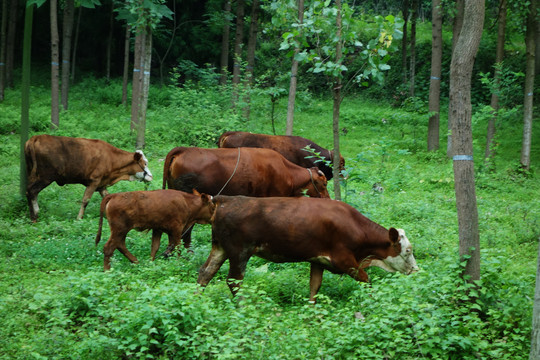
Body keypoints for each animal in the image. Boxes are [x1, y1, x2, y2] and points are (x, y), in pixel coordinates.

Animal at [24, 134, 153, 221]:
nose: (151, 176)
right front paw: (79, 218)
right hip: (46, 177)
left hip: (32, 174)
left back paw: (32, 215)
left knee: (28, 191)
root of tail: (35, 138)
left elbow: (107, 198)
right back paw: (35, 215)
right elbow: (85, 200)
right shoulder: (94, 181)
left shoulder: (101, 184)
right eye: (145, 163)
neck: (111, 159)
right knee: (32, 191)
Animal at [197, 195, 418, 302]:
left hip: (220, 247)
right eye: (407, 250)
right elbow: (367, 280)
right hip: (239, 252)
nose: (416, 270)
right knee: (233, 281)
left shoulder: (317, 260)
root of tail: (226, 199)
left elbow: (314, 287)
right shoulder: (345, 261)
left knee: (205, 272)